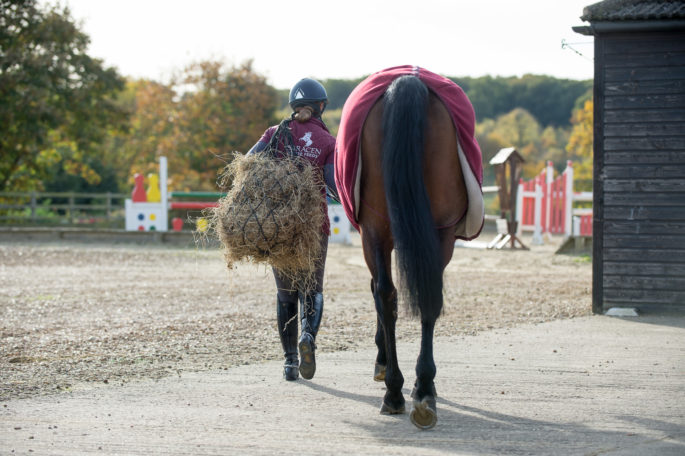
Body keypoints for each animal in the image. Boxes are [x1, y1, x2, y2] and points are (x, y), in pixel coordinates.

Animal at [336, 66, 480, 430]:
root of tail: (409, 81)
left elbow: (379, 291)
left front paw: (383, 362)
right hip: (436, 233)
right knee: (425, 295)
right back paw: (422, 389)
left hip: (376, 230)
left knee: (387, 294)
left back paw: (396, 390)